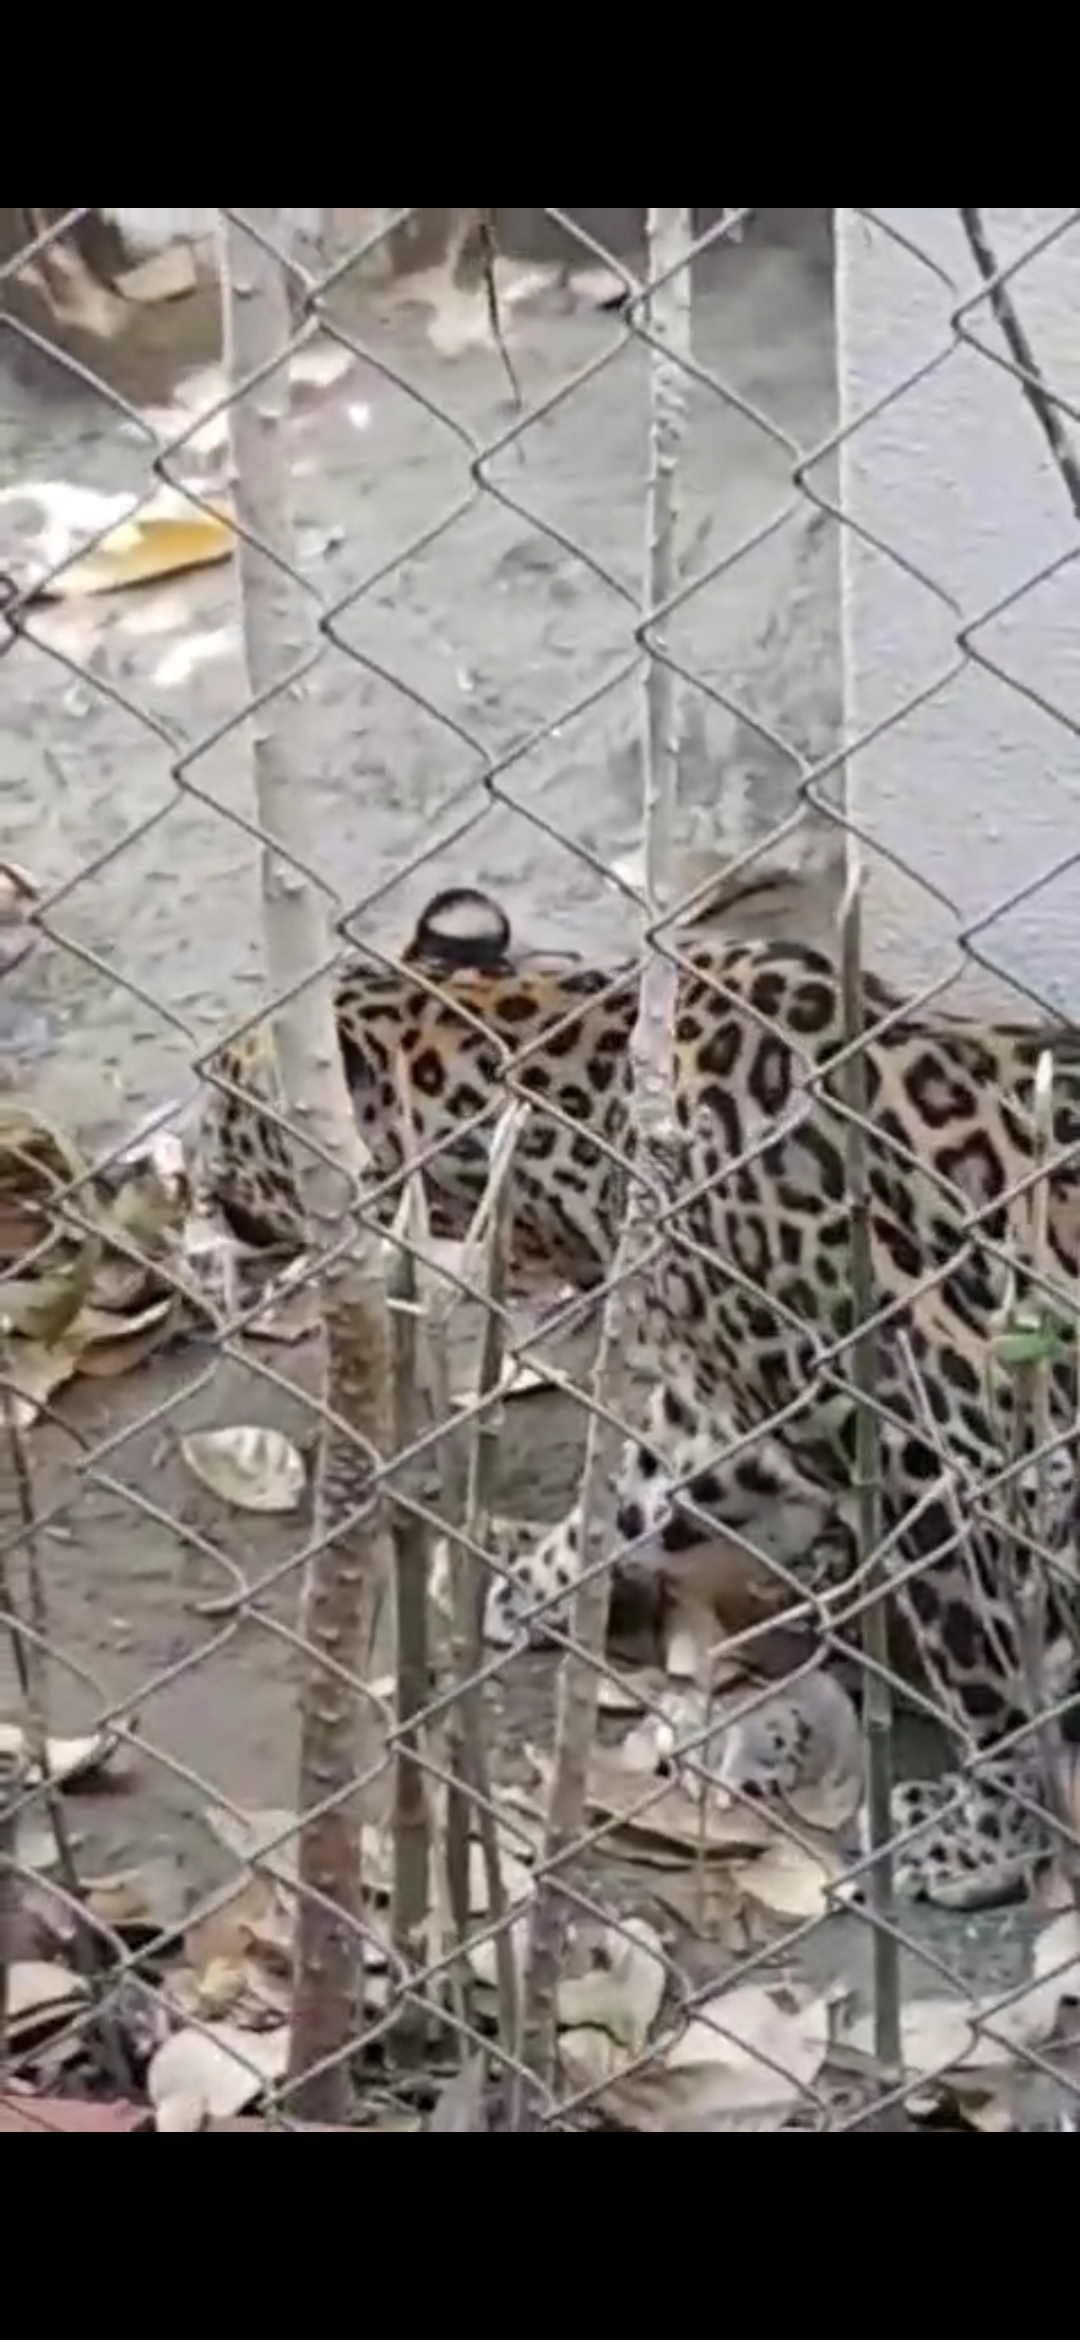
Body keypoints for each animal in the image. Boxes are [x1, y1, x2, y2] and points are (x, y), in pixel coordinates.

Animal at [189, 866, 1080, 1909]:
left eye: (220, 1112)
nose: (193, 1183)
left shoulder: (937, 1435)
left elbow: (987, 1672)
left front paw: (982, 1840)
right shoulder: (722, 1410)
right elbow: (633, 1489)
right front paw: (523, 1577)